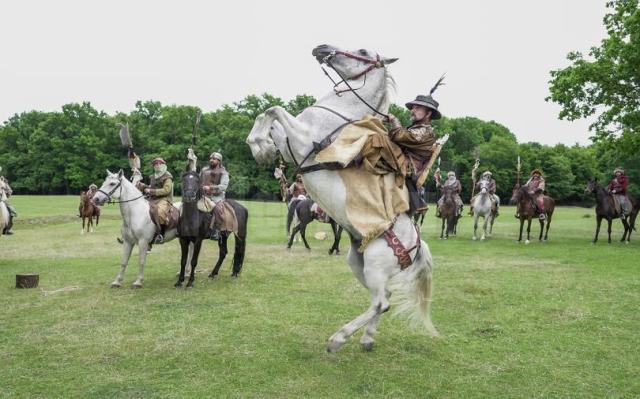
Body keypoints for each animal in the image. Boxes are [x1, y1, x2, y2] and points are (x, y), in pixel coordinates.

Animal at [248, 43, 438, 354]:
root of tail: (417, 244)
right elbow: (270, 118)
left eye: (363, 50)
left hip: (374, 266)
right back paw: (367, 339)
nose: (322, 47)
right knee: (383, 300)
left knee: (380, 302)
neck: (341, 114)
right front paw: (263, 147)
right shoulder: (291, 147)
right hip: (358, 263)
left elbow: (274, 110)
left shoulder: (304, 140)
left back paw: (339, 338)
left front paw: (258, 144)